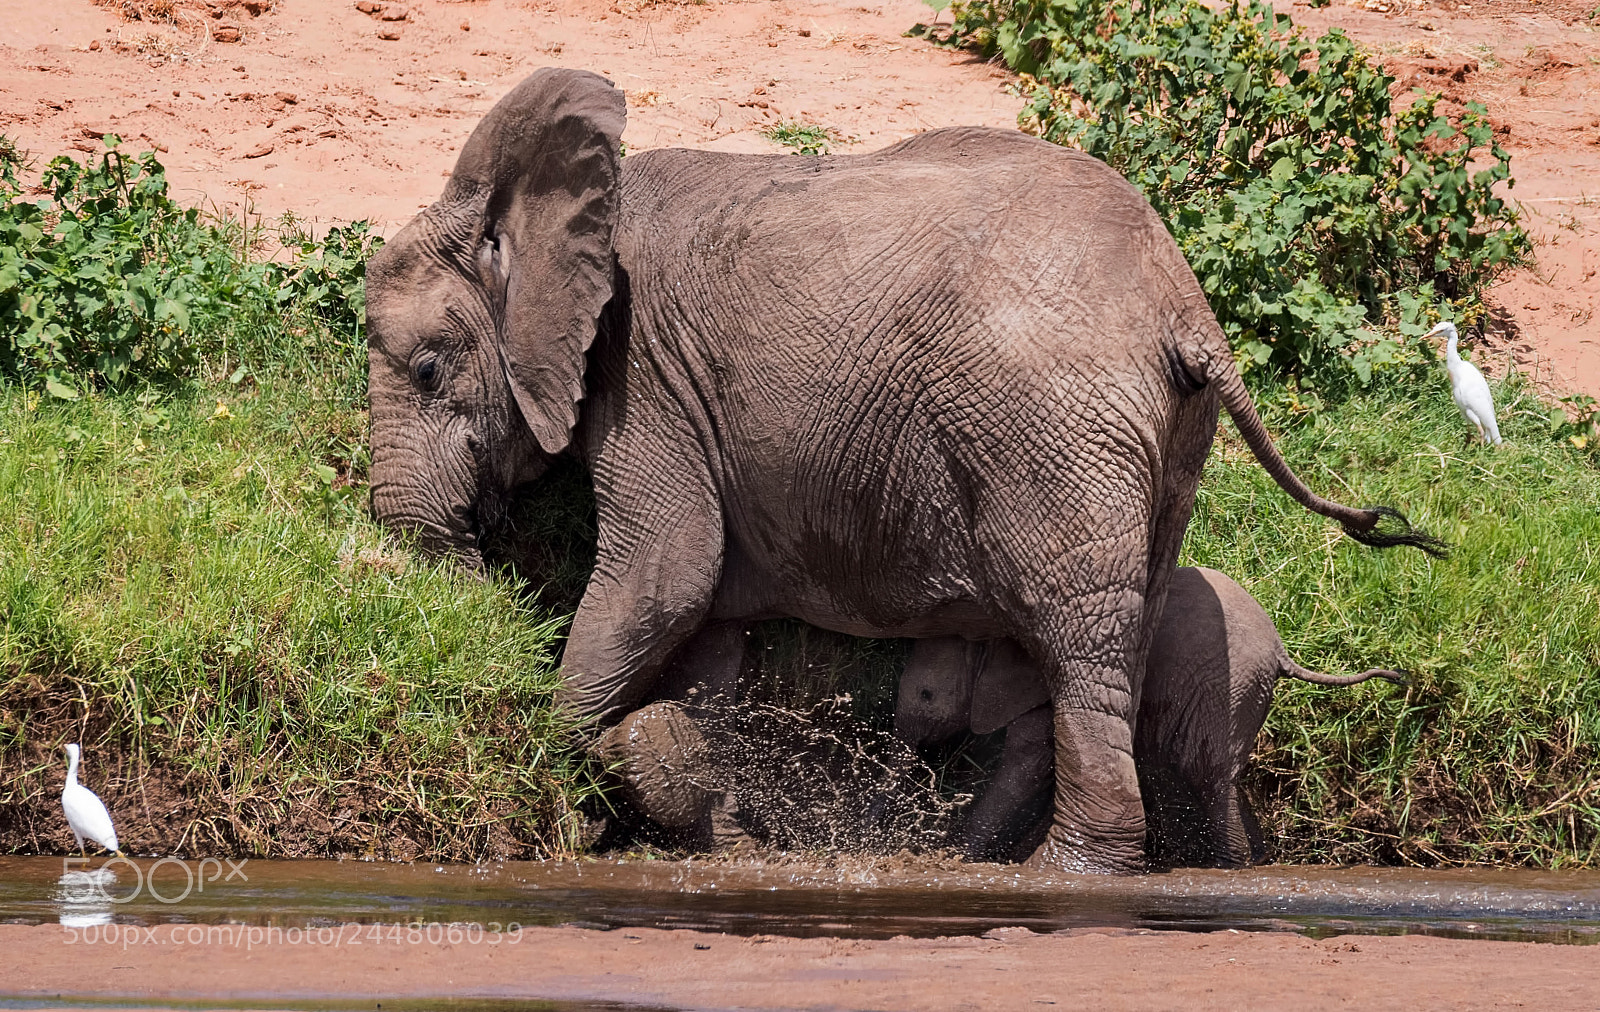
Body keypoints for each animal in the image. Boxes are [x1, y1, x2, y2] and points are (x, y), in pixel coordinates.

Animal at [894, 567, 1407, 866]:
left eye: (926, 696)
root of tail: (1281, 649)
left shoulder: (1042, 680)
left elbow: (1031, 762)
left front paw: (951, 857)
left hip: (1227, 684)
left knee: (1209, 777)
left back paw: (1230, 868)